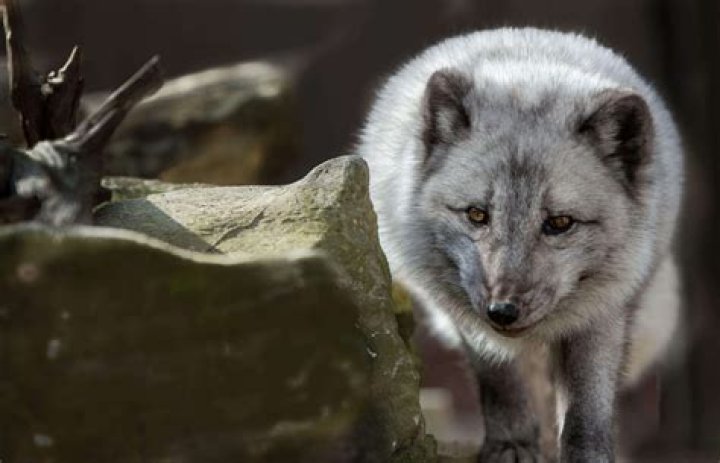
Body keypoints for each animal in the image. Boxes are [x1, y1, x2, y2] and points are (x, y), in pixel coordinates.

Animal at [358, 28, 683, 462]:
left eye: (559, 223)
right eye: (477, 214)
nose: (503, 311)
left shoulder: (604, 314)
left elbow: (588, 403)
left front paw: (586, 453)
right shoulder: (470, 319)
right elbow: (501, 381)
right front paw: (512, 444)